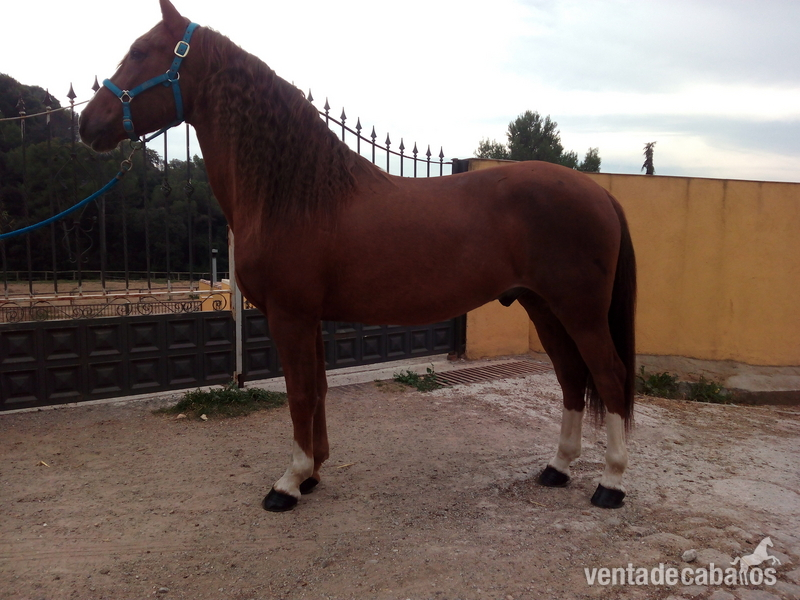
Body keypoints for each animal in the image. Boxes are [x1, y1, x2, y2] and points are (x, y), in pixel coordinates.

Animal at [80, 0, 637, 512]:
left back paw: (610, 483)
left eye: (141, 52)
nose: (87, 124)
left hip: (579, 311)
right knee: (571, 377)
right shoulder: (309, 317)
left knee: (608, 376)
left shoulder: (289, 314)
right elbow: (319, 389)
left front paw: (288, 483)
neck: (295, 194)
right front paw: (312, 472)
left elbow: (300, 393)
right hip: (543, 307)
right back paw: (558, 468)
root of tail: (601, 193)